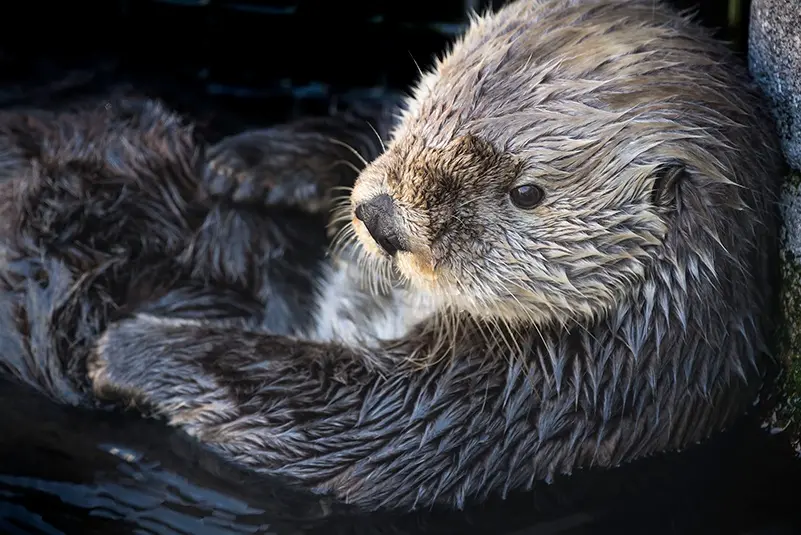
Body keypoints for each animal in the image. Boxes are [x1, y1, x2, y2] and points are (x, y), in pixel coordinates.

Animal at [25, 0, 791, 515]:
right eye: (426, 100)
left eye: (527, 192)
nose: (382, 217)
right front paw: (252, 162)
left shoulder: (514, 395)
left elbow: (334, 418)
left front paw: (130, 347)